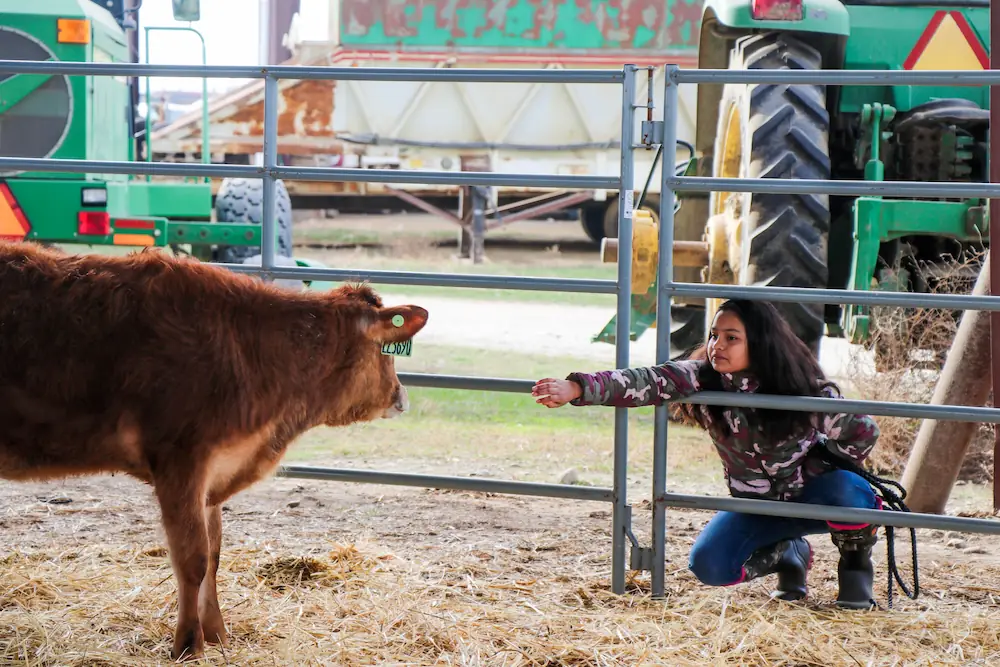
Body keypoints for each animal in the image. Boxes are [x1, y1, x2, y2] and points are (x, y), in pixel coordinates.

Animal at [0, 241, 428, 661]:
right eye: (387, 351)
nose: (402, 396)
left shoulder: (216, 470)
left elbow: (215, 555)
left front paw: (218, 633)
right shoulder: (181, 461)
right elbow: (193, 559)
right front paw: (189, 643)